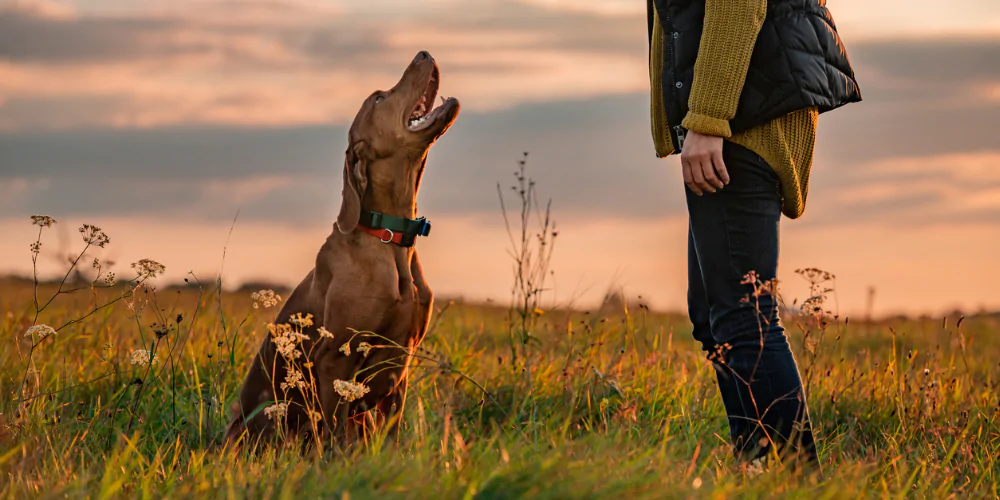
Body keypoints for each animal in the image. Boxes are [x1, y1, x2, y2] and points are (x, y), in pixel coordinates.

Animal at [225, 52, 458, 448]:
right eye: (378, 98)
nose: (424, 53)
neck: (390, 238)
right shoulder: (336, 358)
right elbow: (333, 437)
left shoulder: (400, 365)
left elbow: (391, 436)